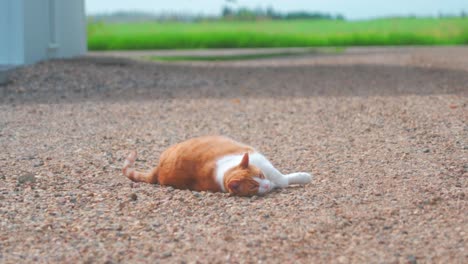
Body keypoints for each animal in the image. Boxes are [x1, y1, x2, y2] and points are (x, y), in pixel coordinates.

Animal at [122, 136, 312, 196]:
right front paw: (304, 177)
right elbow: (282, 180)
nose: (265, 185)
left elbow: (279, 178)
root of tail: (158, 170)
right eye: (252, 186)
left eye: (260, 176)